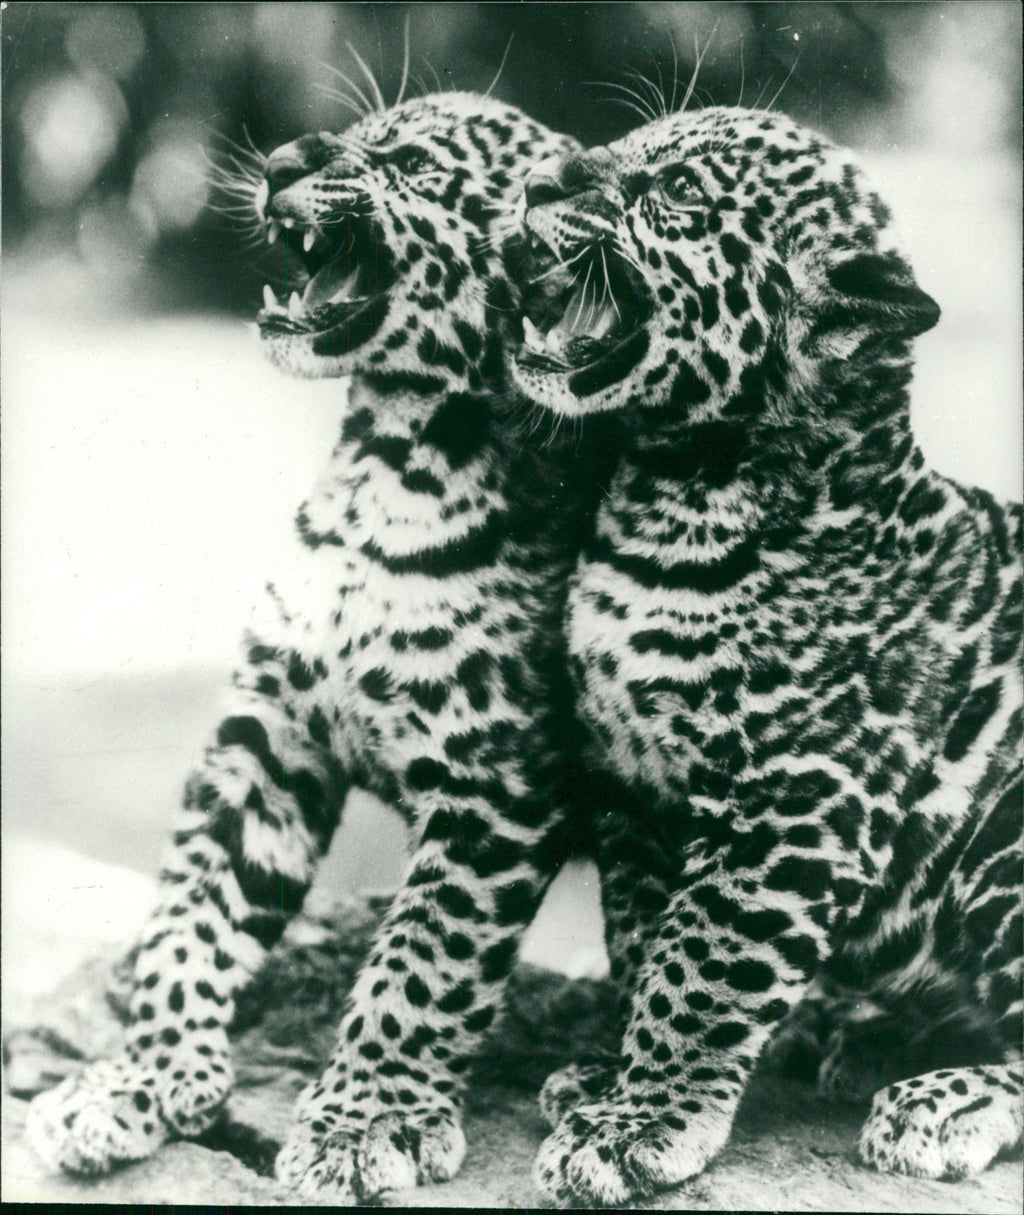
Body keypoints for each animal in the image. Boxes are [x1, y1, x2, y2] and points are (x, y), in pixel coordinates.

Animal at [25, 91, 612, 1202]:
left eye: (416, 164)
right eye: (359, 132)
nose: (286, 159)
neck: (387, 465)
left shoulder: (498, 783)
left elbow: (422, 964)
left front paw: (362, 1123)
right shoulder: (267, 732)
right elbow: (192, 912)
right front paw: (136, 1077)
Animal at [508, 104, 1023, 1205]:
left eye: (678, 193)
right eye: (627, 143)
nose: (541, 179)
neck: (670, 496)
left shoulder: (794, 803)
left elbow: (701, 965)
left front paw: (638, 1125)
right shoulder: (632, 792)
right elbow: (643, 946)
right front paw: (611, 1078)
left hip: (1005, 835)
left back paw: (939, 1099)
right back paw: (860, 1038)